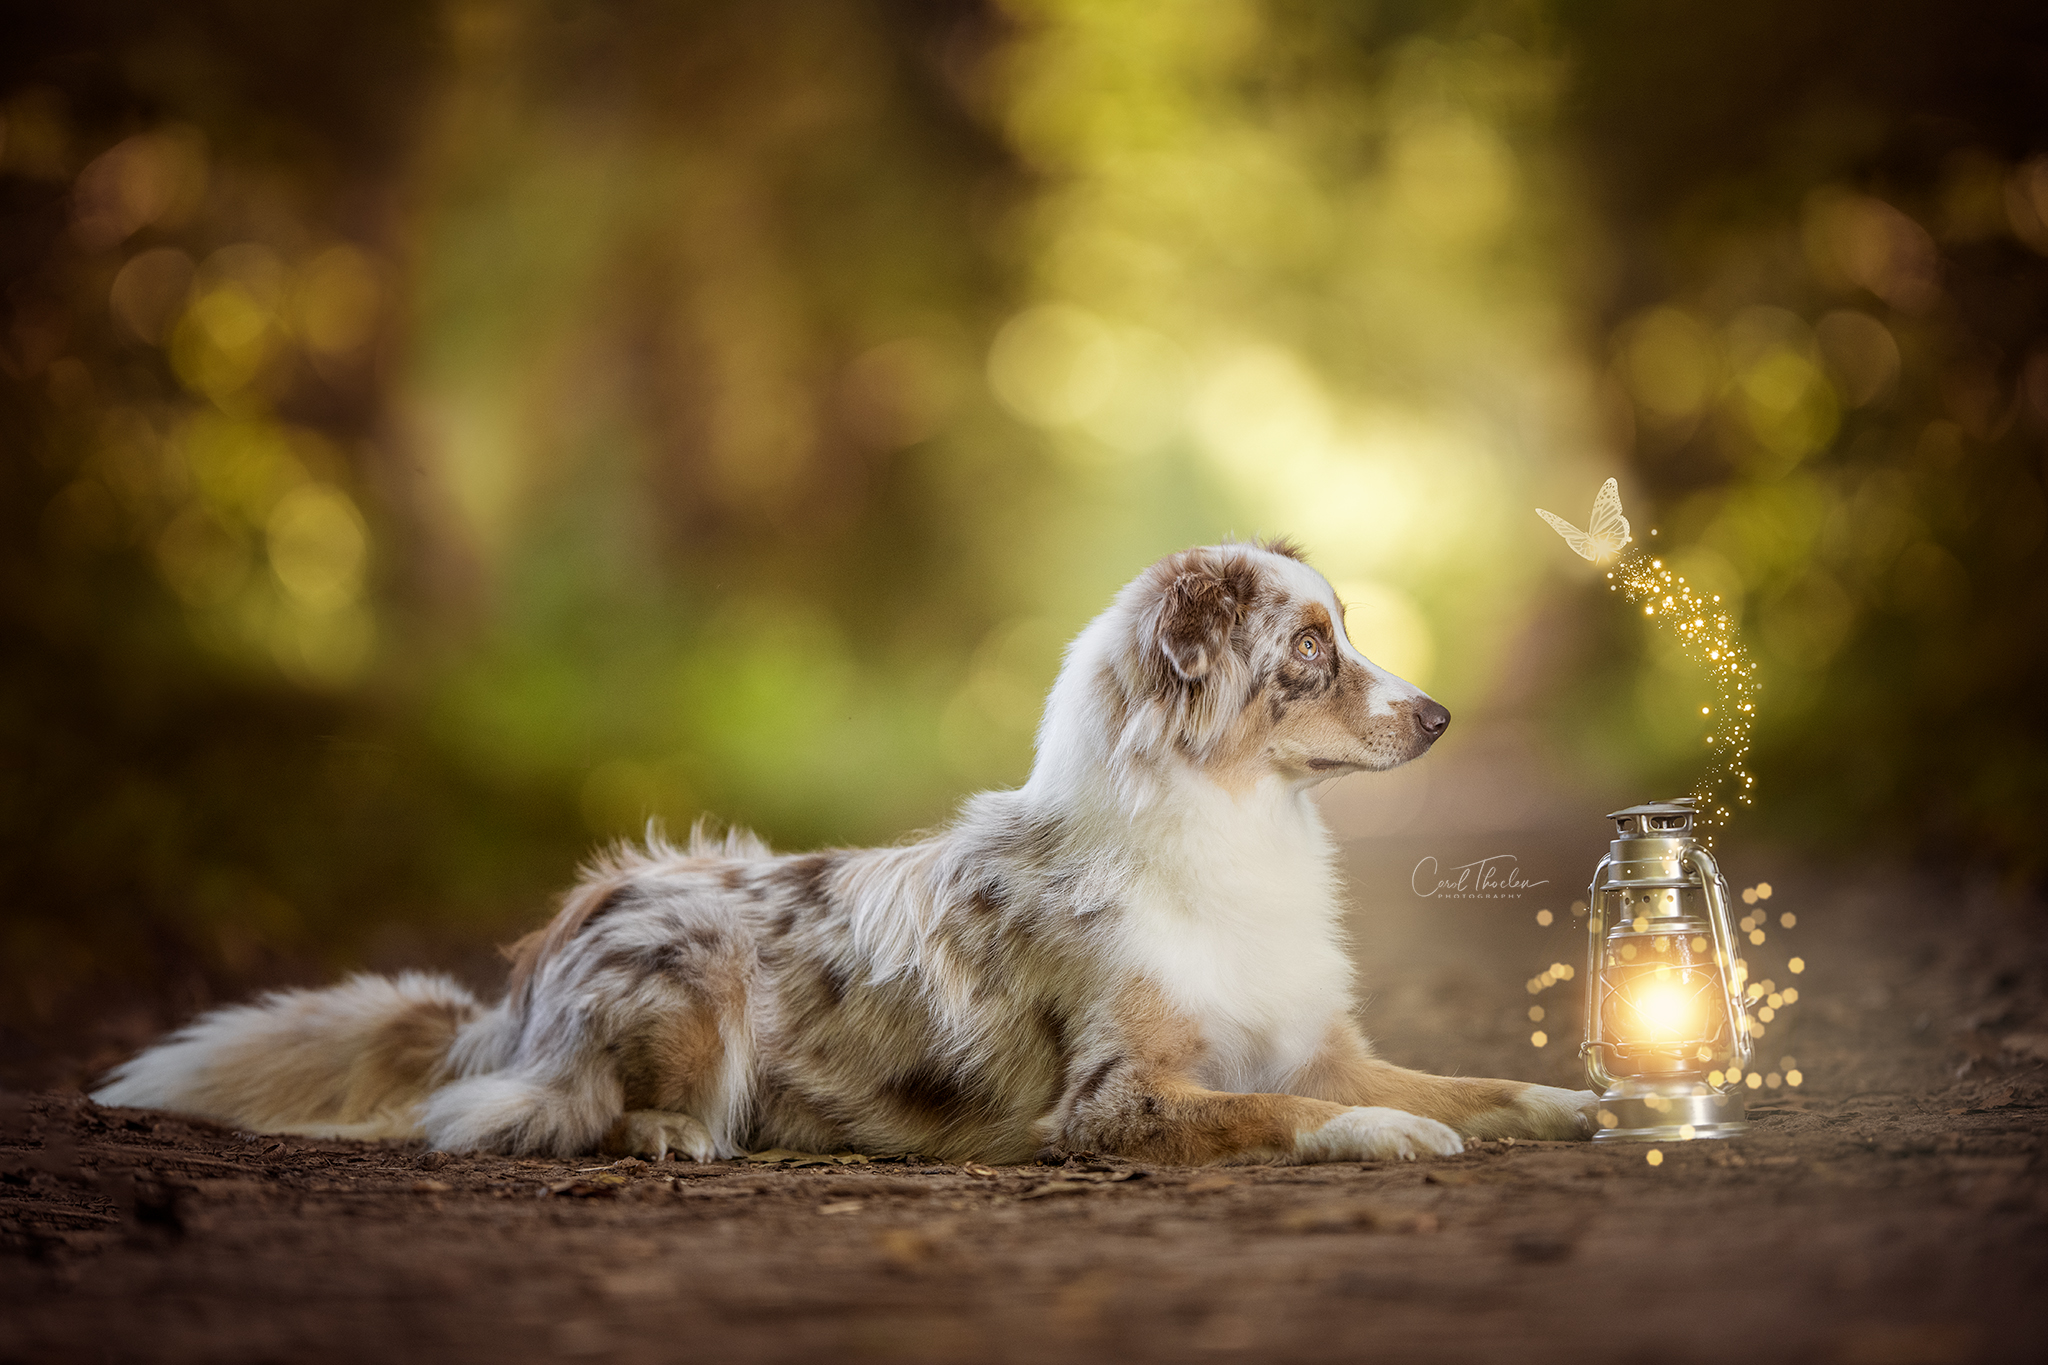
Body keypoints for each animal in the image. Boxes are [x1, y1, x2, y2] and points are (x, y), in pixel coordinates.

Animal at [96, 540, 1597, 1162]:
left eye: (1345, 635)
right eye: (1309, 654)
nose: (1441, 714)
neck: (1233, 830)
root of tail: (519, 984)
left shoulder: (1310, 1039)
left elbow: (1462, 1080)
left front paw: (1575, 1100)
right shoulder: (1112, 1102)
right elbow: (1279, 1112)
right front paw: (1384, 1133)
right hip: (689, 961)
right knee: (523, 1115)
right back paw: (672, 1136)